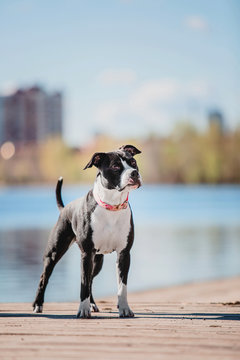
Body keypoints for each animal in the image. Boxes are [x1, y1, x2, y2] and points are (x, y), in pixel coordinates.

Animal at [33, 143, 142, 318]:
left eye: (133, 162)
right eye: (116, 166)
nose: (134, 173)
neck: (111, 206)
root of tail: (65, 208)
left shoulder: (124, 254)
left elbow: (122, 285)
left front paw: (124, 308)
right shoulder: (86, 254)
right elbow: (83, 284)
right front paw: (83, 310)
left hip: (97, 261)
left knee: (91, 280)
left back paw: (92, 304)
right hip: (54, 254)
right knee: (44, 278)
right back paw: (38, 305)